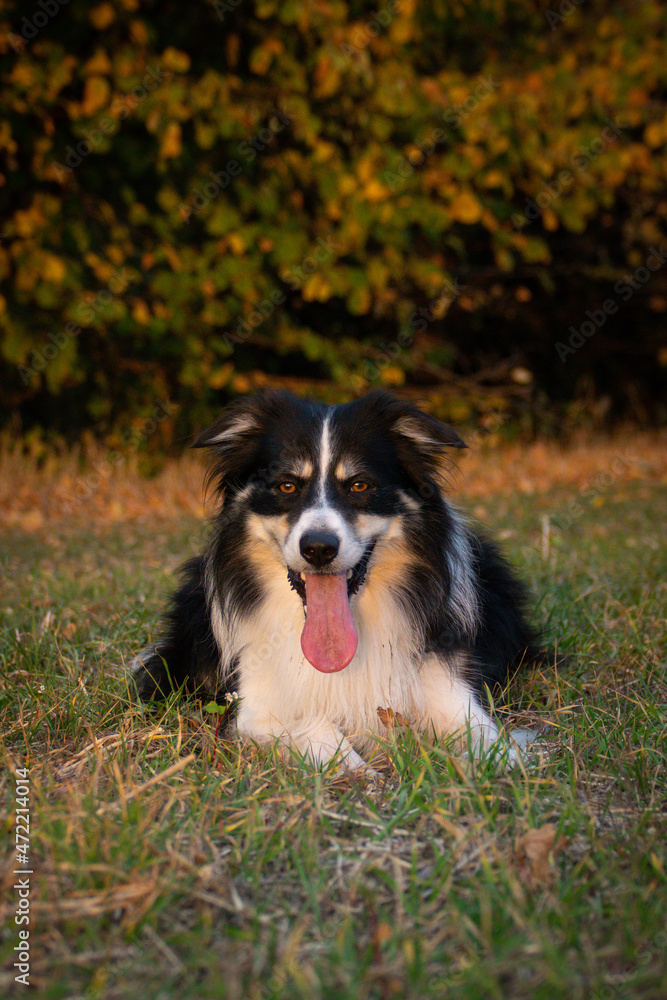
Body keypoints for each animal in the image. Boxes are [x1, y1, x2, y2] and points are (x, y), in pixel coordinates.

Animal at [132, 390, 544, 772]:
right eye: (286, 486)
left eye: (360, 486)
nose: (318, 548)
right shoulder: (259, 709)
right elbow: (320, 732)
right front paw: (363, 778)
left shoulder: (445, 687)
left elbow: (487, 738)